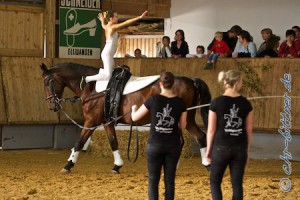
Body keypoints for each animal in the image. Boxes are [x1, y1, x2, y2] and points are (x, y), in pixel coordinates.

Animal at [39, 63, 211, 173]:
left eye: (47, 82)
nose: (51, 105)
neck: (92, 87)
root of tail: (191, 80)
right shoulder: (107, 122)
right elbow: (113, 142)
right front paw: (117, 165)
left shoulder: (91, 121)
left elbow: (79, 142)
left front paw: (68, 165)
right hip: (187, 120)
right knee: (198, 137)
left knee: (193, 139)